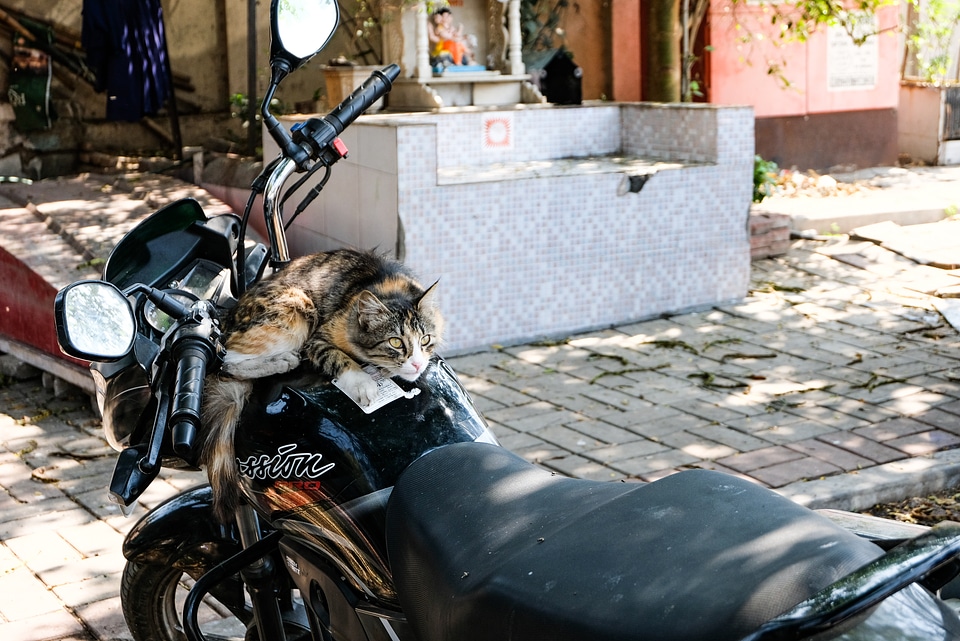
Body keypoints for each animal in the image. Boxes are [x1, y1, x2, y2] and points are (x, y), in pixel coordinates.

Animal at [204, 248, 444, 524]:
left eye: (425, 339)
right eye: (395, 342)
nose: (416, 364)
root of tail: (226, 319)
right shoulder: (319, 338)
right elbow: (340, 358)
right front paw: (364, 384)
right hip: (297, 308)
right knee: (226, 361)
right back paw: (283, 360)